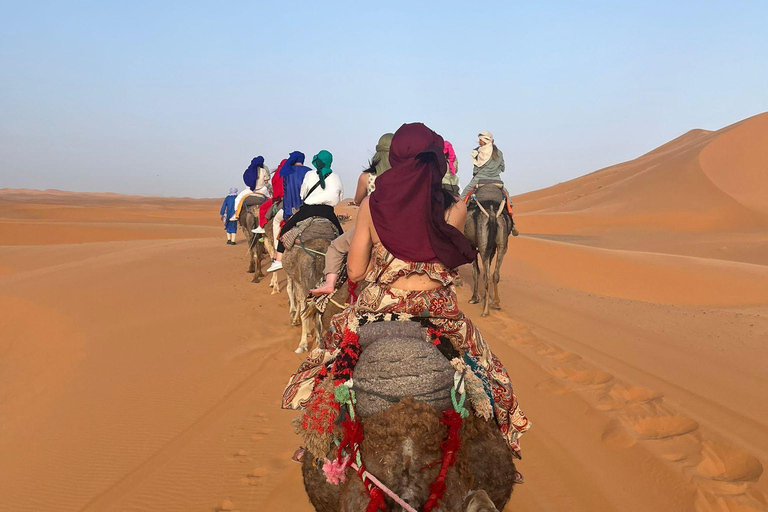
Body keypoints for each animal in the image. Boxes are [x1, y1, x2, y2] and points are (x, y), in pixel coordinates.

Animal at [464, 185, 512, 316]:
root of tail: (492, 212)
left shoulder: (471, 245)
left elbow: (475, 272)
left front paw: (474, 298)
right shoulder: (493, 247)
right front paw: (488, 299)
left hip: (483, 242)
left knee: (487, 276)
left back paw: (485, 311)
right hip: (501, 242)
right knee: (494, 274)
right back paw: (496, 303)